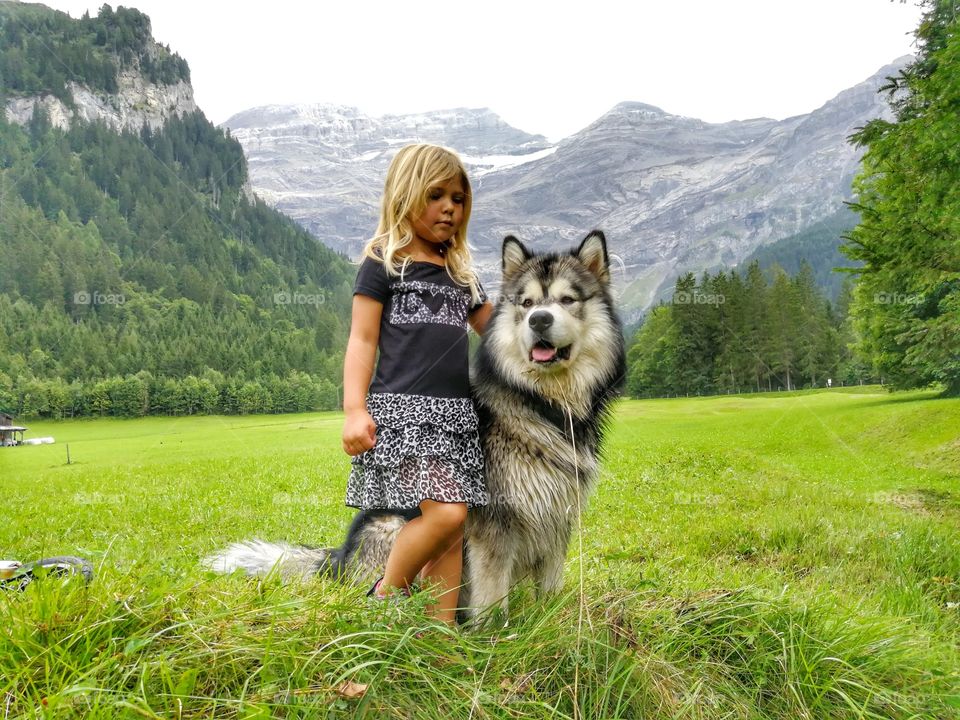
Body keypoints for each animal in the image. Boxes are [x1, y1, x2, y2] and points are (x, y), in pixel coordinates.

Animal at [204, 231, 626, 620]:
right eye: (527, 303)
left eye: (567, 300)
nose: (539, 319)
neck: (542, 404)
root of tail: (338, 560)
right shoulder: (495, 525)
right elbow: (492, 596)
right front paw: (496, 635)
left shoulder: (558, 517)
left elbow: (551, 586)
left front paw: (555, 623)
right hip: (394, 527)